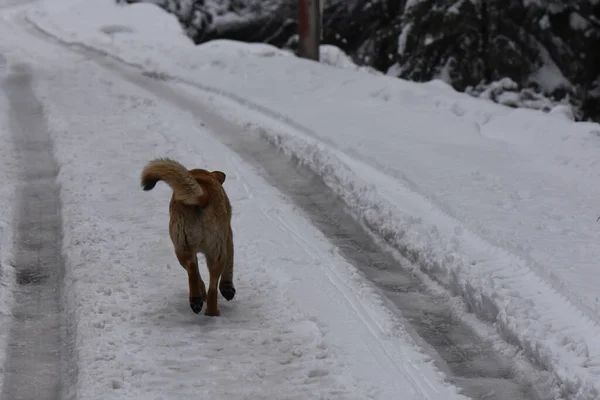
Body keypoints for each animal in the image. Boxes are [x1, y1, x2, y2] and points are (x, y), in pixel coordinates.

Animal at [141, 156, 234, 316]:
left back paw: (197, 301)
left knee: (193, 271)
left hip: (183, 246)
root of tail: (203, 195)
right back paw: (211, 311)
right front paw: (228, 289)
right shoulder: (228, 239)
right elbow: (229, 265)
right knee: (211, 285)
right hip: (214, 251)